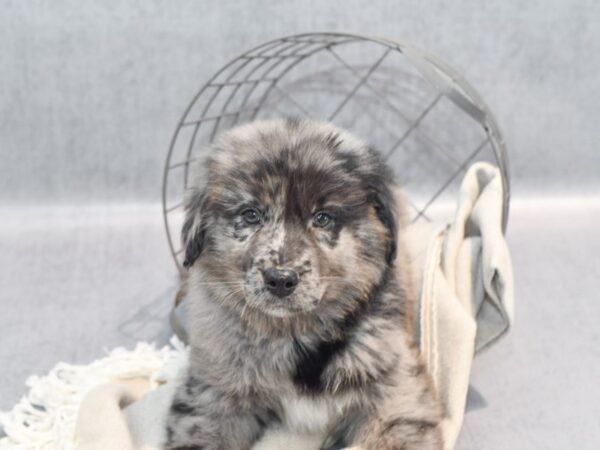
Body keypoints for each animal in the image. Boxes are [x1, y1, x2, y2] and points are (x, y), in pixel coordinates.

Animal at [165, 118, 446, 450]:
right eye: (251, 214)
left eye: (322, 218)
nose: (280, 279)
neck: (293, 333)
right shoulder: (213, 390)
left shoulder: (395, 388)